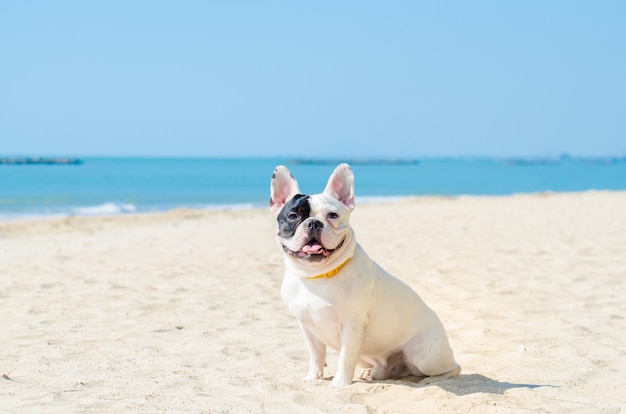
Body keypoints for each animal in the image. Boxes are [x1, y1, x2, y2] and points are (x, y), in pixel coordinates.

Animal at [268, 163, 458, 386]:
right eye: (293, 216)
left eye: (332, 215)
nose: (314, 222)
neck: (318, 275)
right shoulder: (307, 326)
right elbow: (316, 354)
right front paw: (313, 376)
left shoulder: (352, 326)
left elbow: (345, 357)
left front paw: (340, 383)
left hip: (423, 355)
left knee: (453, 368)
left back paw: (434, 380)